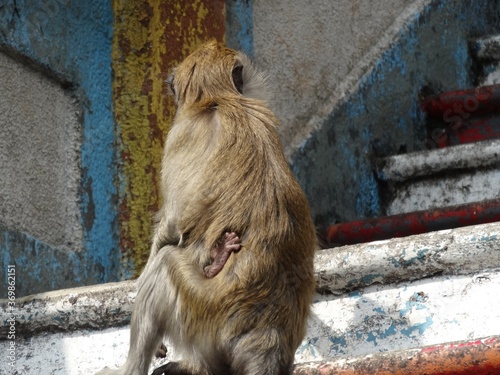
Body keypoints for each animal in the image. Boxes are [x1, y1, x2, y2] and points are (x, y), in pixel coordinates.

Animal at [95, 41, 314, 375]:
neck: (216, 99)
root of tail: (267, 334)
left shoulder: (180, 134)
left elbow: (172, 225)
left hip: (201, 314)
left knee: (164, 264)